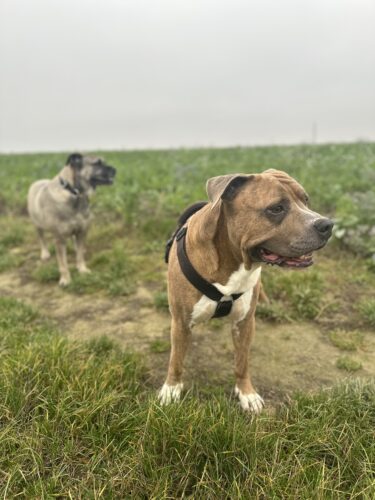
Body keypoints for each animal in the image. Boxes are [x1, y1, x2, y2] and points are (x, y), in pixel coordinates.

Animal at [27, 152, 116, 286]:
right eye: (97, 163)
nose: (115, 170)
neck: (74, 192)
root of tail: (38, 181)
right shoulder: (59, 238)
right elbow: (63, 263)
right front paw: (65, 279)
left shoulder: (82, 231)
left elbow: (79, 255)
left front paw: (82, 269)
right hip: (37, 224)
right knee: (41, 238)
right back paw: (45, 253)